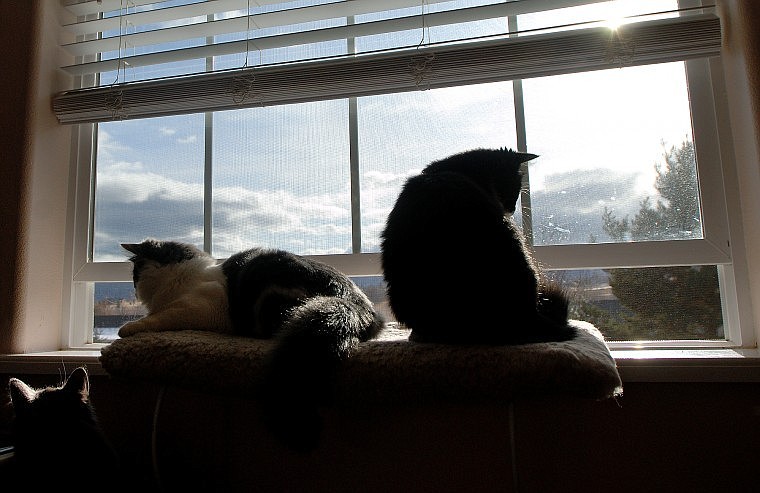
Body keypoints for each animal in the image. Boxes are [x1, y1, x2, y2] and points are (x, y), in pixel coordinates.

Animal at [119, 240, 386, 452]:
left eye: (135, 273)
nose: (133, 288)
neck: (181, 280)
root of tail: (357, 303)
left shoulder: (201, 310)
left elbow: (160, 318)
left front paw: (127, 329)